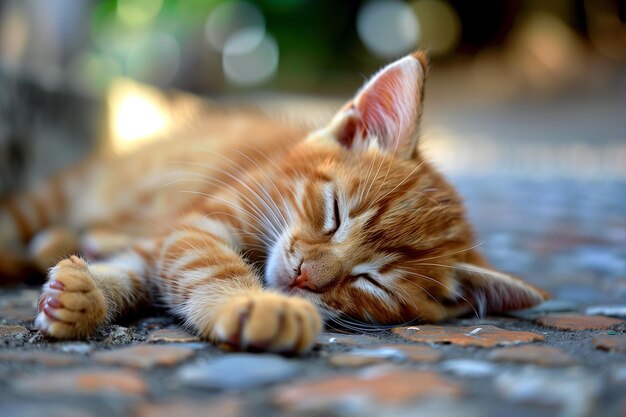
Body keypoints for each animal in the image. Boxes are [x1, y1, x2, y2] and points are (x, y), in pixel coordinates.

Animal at [0, 51, 544, 352]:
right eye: (335, 213)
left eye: (373, 282)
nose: (304, 275)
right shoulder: (199, 223)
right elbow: (204, 262)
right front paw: (254, 303)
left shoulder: (163, 240)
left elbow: (140, 270)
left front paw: (87, 296)